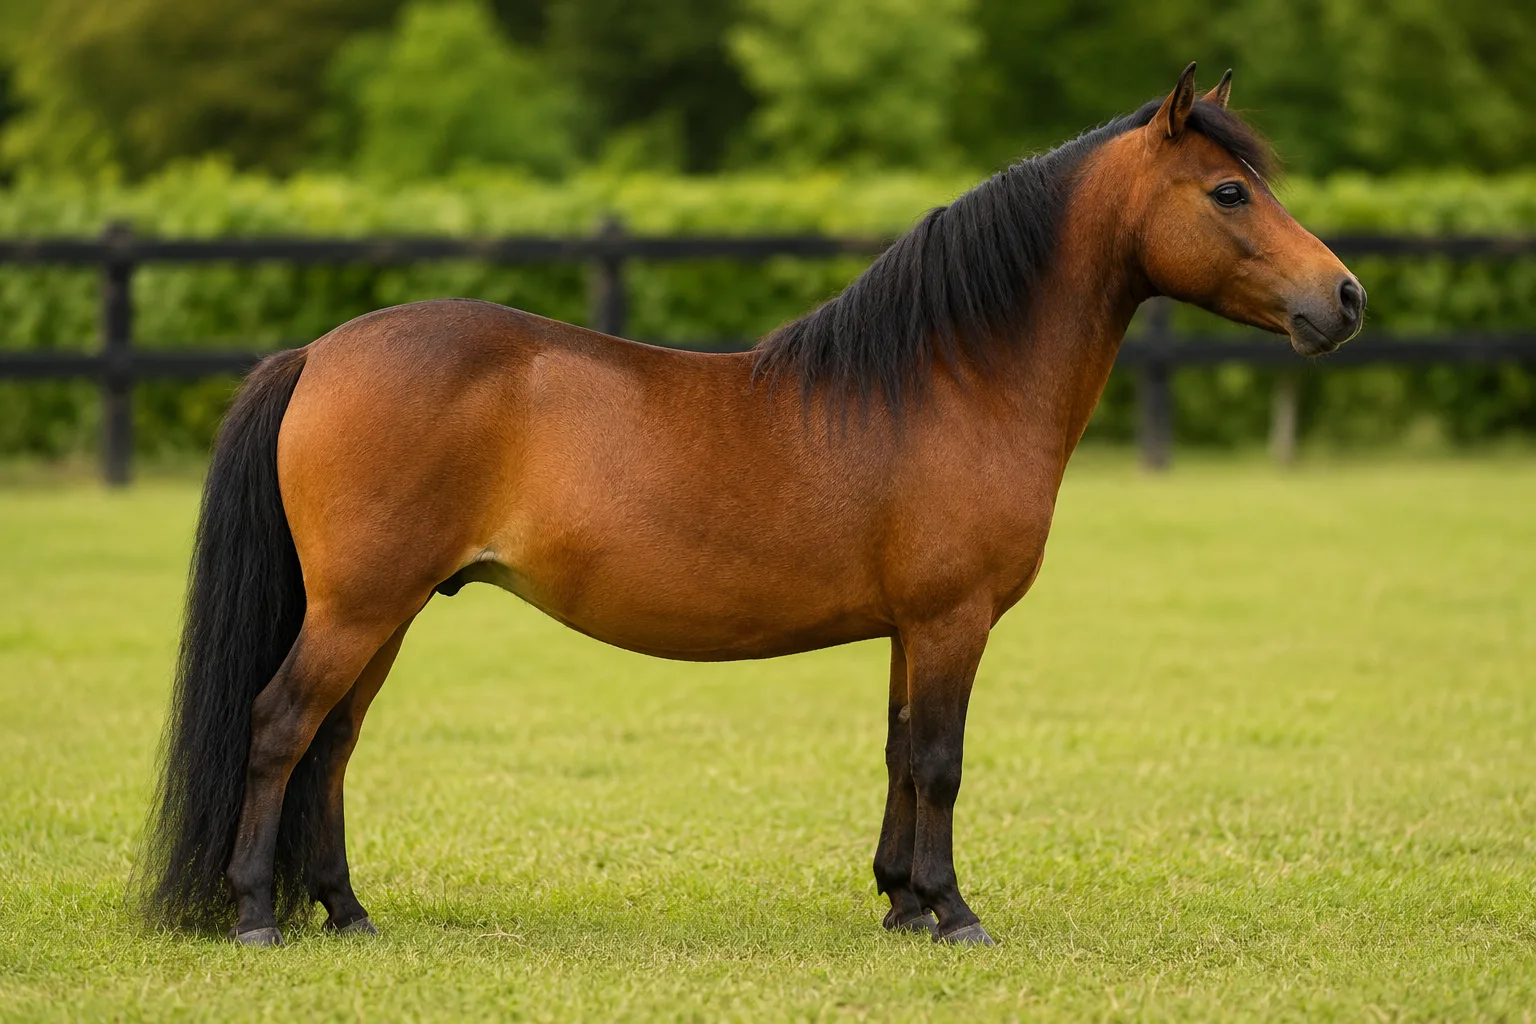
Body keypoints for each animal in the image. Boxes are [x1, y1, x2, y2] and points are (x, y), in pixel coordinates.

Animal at [135, 63, 1364, 948]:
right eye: (1230, 191)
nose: (1345, 297)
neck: (954, 377)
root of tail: (319, 351)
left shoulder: (911, 629)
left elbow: (897, 752)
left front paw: (901, 901)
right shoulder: (953, 620)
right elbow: (941, 759)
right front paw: (955, 913)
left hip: (385, 612)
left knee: (331, 746)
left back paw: (346, 912)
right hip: (359, 608)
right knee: (279, 728)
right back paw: (257, 917)